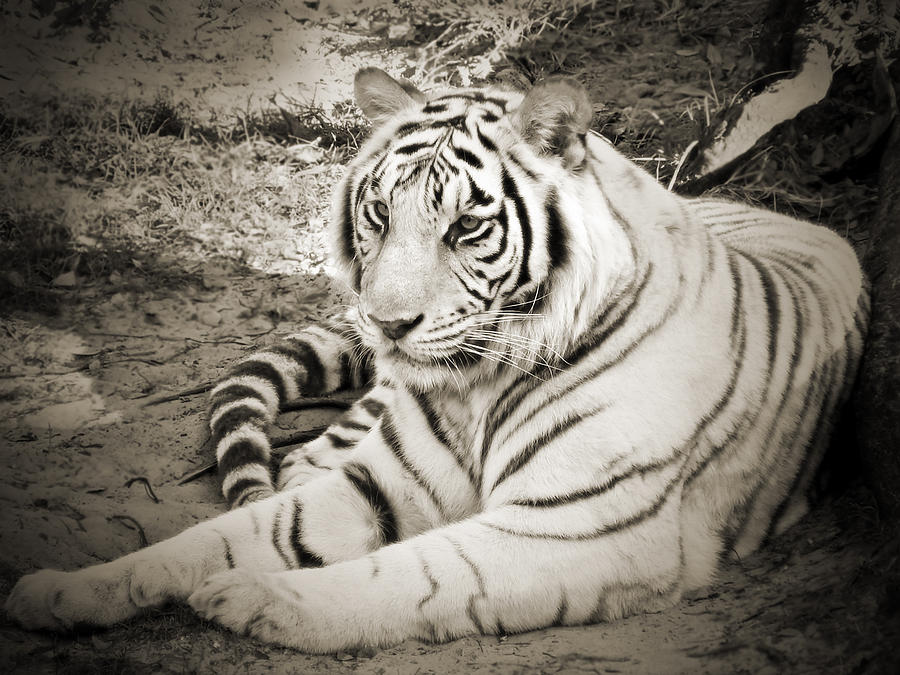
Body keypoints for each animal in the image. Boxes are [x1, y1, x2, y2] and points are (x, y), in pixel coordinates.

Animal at [5, 68, 869, 652]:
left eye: (465, 227)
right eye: (379, 214)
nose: (387, 323)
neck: (479, 384)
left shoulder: (572, 528)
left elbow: (413, 572)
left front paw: (255, 597)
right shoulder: (384, 482)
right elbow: (209, 536)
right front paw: (60, 591)